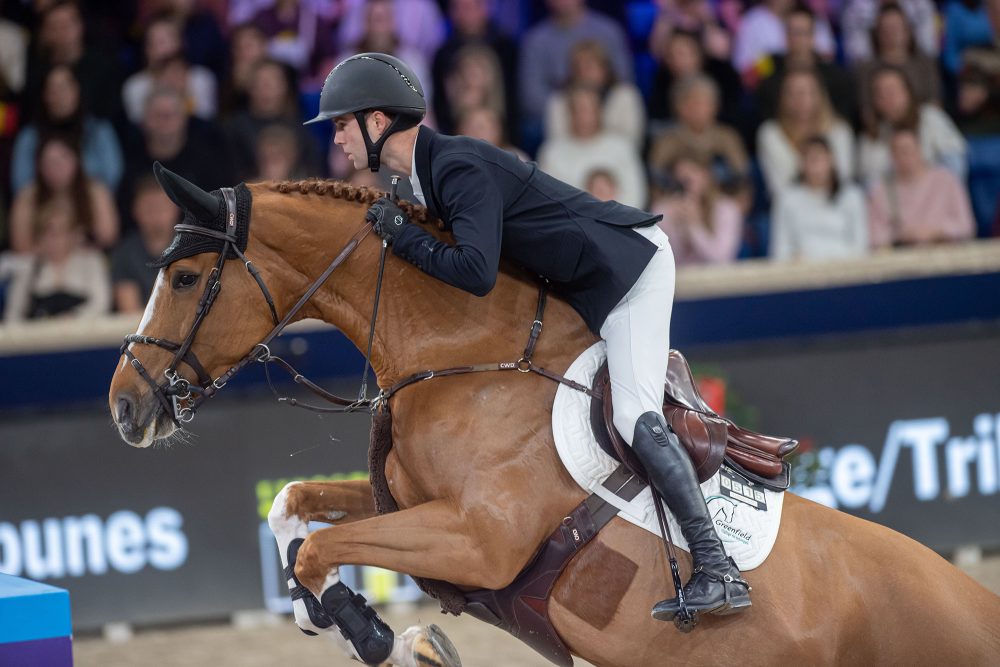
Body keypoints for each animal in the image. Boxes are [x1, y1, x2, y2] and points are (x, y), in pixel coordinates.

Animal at [109, 171, 1000, 667]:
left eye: (184, 277)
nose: (124, 404)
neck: (465, 355)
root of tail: (975, 605)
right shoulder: (413, 503)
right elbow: (295, 510)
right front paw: (331, 614)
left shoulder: (476, 538)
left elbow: (326, 545)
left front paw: (384, 638)